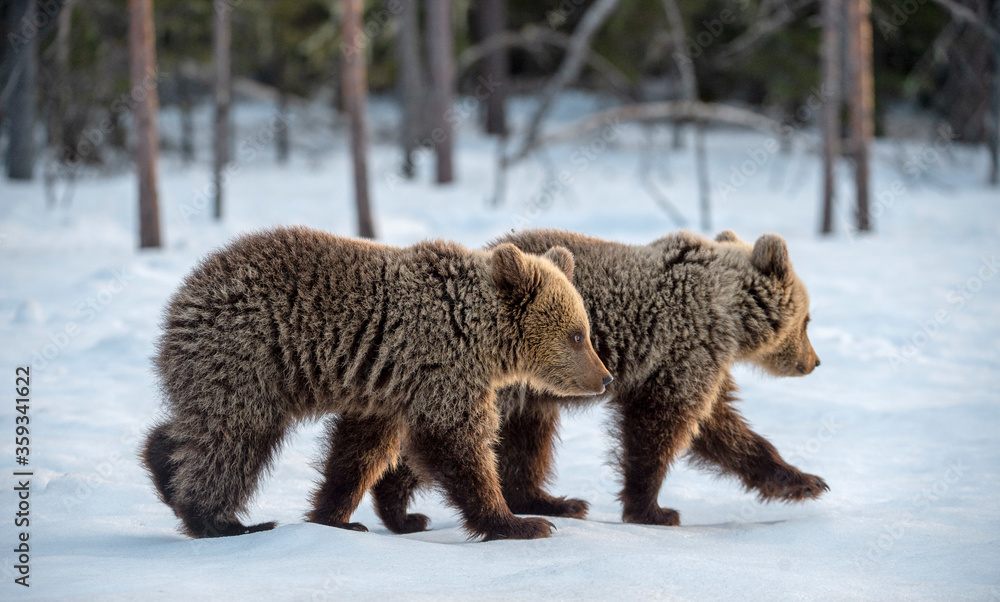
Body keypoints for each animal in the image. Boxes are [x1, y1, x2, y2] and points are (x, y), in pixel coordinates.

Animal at [141, 226, 612, 540]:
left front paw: (344, 516)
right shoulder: (440, 366)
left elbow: (359, 453)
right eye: (577, 335)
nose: (605, 377)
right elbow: (456, 444)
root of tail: (183, 297)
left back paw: (162, 465)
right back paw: (220, 520)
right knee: (233, 439)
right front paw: (520, 522)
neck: (476, 331)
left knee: (199, 427)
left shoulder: (382, 385)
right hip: (249, 355)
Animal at [367, 228, 828, 532]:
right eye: (807, 320)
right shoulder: (685, 349)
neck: (727, 310)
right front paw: (653, 510)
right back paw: (399, 508)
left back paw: (554, 501)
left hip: (529, 391)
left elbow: (725, 431)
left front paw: (804, 481)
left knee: (527, 439)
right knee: (454, 433)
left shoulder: (700, 362)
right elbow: (661, 426)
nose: (815, 361)